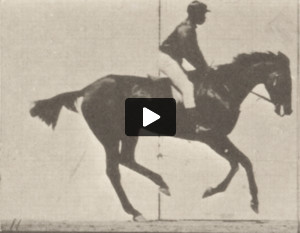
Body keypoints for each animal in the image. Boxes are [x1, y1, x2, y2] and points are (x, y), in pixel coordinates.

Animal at [30, 51, 292, 220]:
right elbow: (241, 162)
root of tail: (87, 89)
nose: (288, 110)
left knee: (125, 160)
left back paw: (159, 186)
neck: (223, 87)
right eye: (283, 79)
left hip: (127, 135)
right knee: (114, 170)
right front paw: (241, 198)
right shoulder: (212, 137)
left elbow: (240, 162)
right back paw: (136, 210)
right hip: (109, 136)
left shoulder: (216, 139)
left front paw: (239, 198)